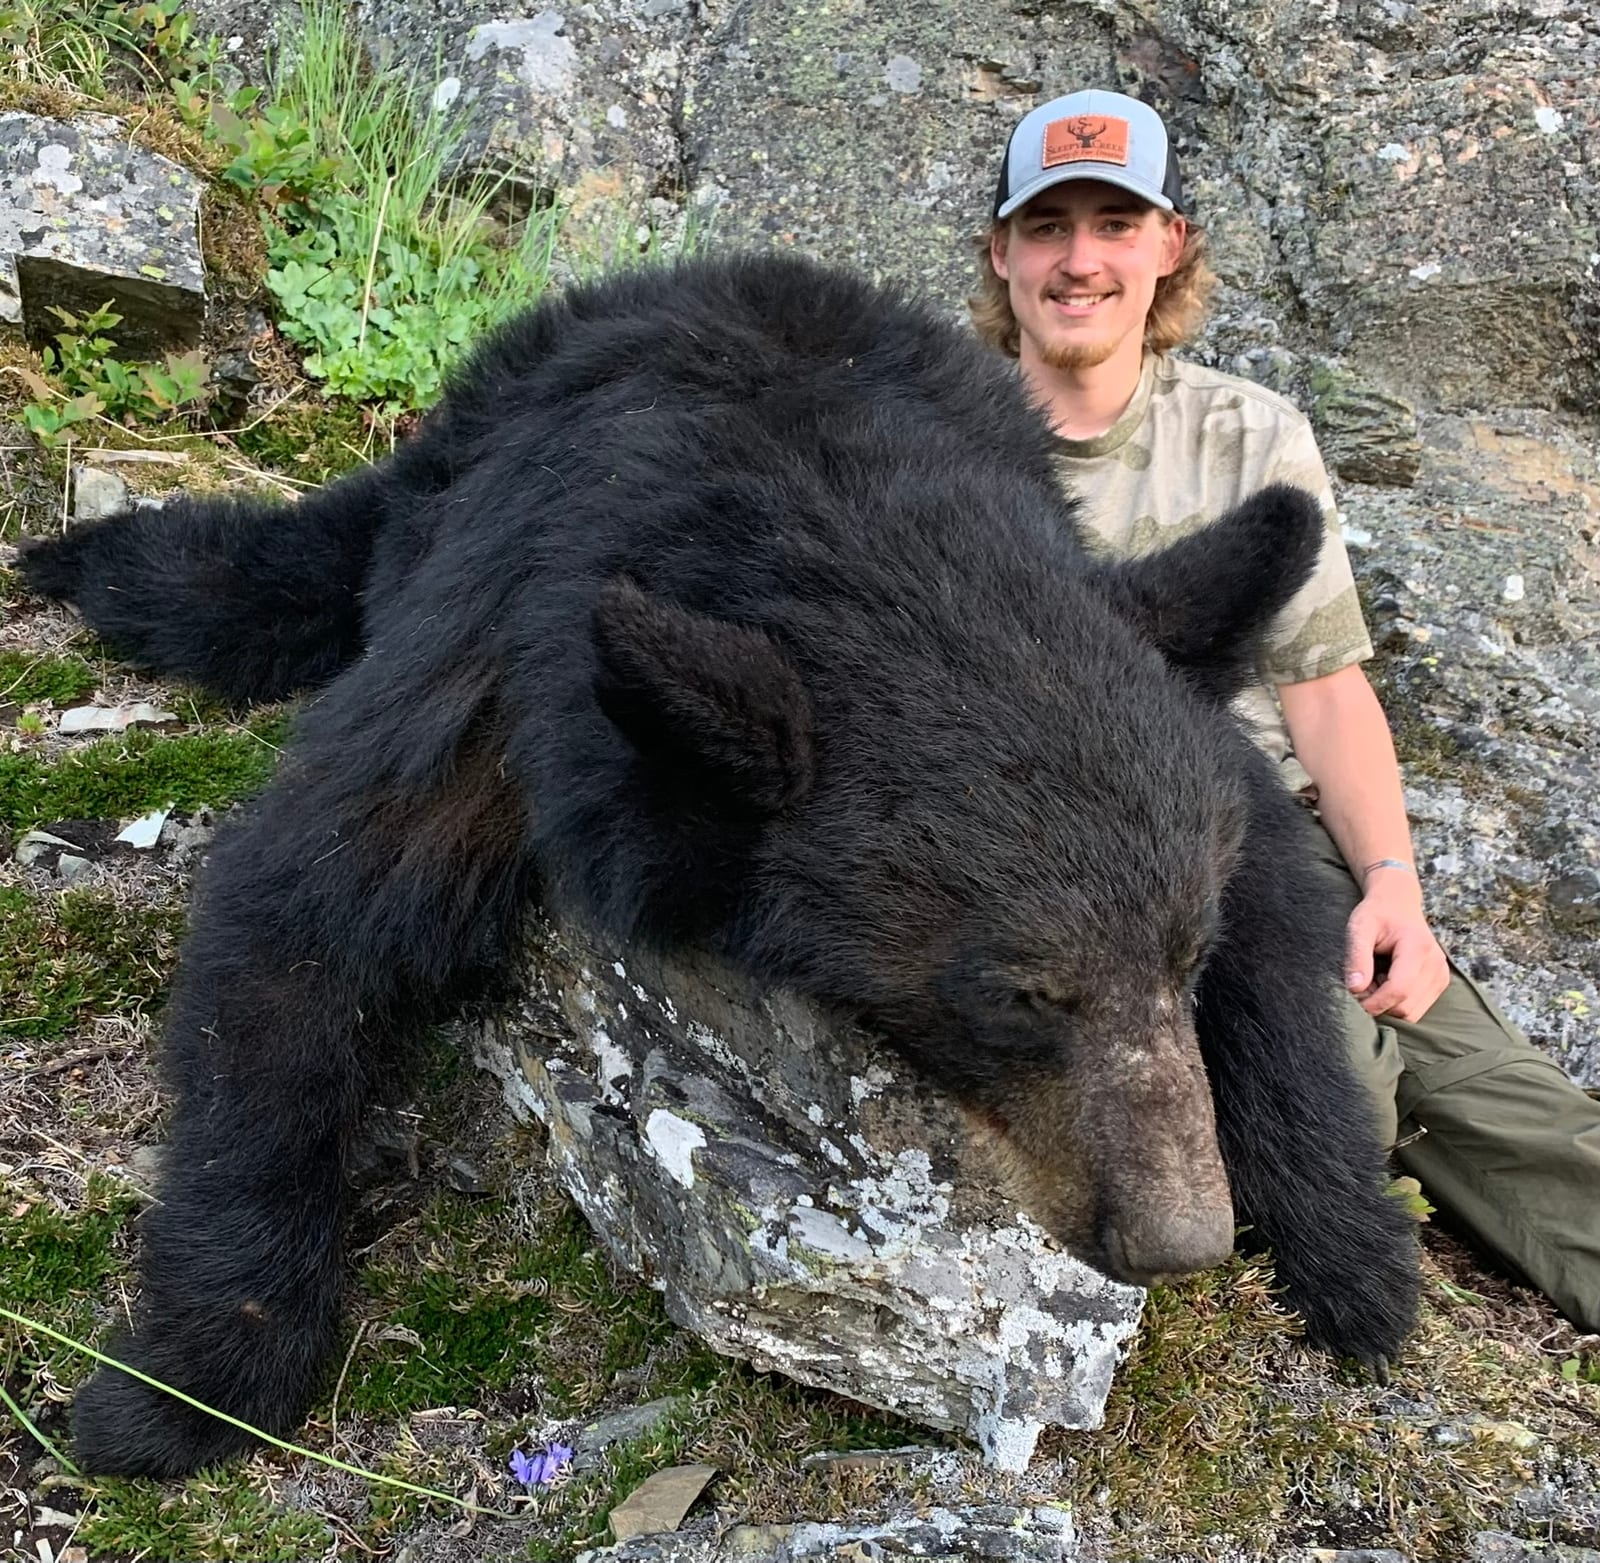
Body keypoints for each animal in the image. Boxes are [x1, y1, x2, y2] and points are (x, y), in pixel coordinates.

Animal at [19, 251, 1420, 1478]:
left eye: (1183, 956)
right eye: (1019, 993)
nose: (1179, 1239)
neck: (837, 507)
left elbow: (1286, 925)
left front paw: (1355, 1254)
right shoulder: (518, 663)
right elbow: (301, 925)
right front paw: (190, 1385)